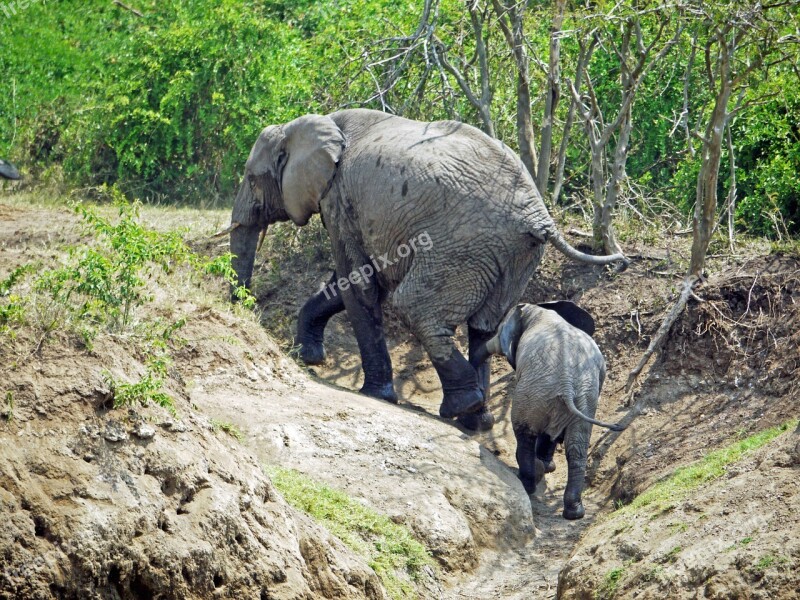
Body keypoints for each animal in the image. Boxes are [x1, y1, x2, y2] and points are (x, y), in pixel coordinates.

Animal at [217, 110, 624, 432]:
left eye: (252, 179)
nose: (244, 308)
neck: (313, 124)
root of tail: (539, 217)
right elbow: (352, 281)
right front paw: (308, 357)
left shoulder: (339, 197)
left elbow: (360, 284)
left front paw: (375, 394)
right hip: (512, 255)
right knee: (484, 325)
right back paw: (477, 421)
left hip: (461, 244)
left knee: (416, 308)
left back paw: (461, 408)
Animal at [476, 302, 624, 516]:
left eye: (499, 330)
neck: (540, 310)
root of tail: (567, 382)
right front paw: (548, 467)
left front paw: (543, 468)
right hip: (582, 397)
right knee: (576, 447)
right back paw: (574, 513)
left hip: (535, 390)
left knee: (524, 433)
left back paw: (528, 483)